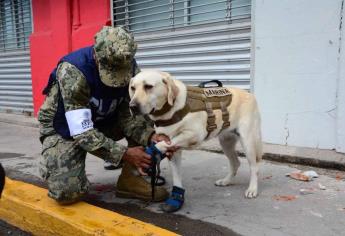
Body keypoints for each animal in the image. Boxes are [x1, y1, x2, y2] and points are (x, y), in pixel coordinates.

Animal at [128, 70, 260, 212]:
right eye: (133, 88)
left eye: (148, 86)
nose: (132, 106)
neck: (169, 110)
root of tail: (249, 94)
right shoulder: (174, 151)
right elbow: (176, 176)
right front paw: (176, 198)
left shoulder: (195, 135)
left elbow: (161, 144)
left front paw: (151, 151)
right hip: (226, 142)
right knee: (235, 162)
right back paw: (226, 181)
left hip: (248, 141)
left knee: (254, 166)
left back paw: (252, 189)